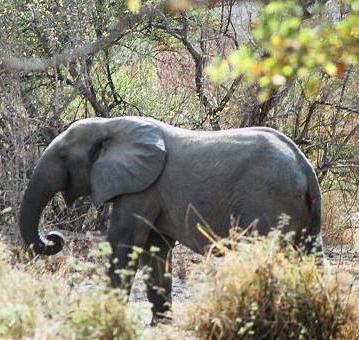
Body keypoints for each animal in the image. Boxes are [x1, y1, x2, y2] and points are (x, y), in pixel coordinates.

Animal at [19, 115, 324, 322]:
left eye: (62, 156)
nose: (55, 238)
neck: (110, 126)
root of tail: (305, 167)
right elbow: (156, 250)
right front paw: (160, 324)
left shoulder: (141, 188)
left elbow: (124, 243)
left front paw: (107, 316)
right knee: (310, 255)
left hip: (267, 202)